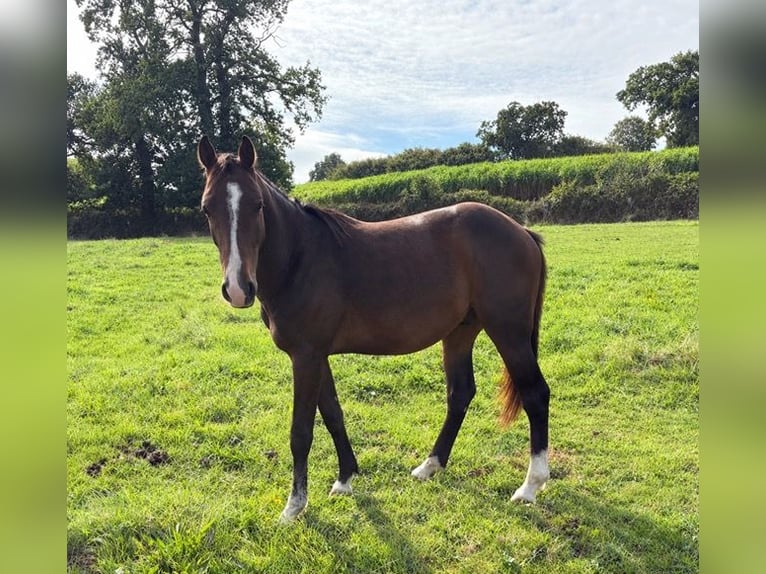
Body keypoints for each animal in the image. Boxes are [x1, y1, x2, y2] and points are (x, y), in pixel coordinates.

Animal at [197, 135, 551, 523]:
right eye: (207, 209)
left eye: (257, 205)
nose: (238, 289)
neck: (300, 259)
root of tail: (522, 232)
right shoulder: (317, 356)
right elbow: (333, 413)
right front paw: (345, 478)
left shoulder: (305, 357)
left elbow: (301, 431)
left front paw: (295, 506)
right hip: (460, 332)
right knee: (460, 394)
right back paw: (430, 466)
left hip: (509, 332)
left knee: (535, 394)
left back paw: (530, 486)